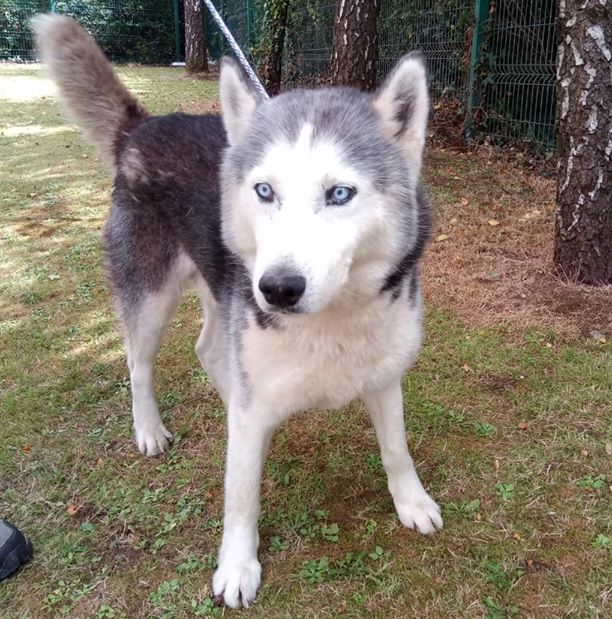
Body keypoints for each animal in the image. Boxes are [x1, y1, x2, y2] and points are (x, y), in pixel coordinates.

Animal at [34, 14, 440, 612]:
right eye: (265, 190)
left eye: (340, 194)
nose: (277, 289)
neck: (330, 320)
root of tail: (143, 126)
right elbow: (240, 496)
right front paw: (237, 565)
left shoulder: (384, 375)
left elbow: (396, 449)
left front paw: (411, 502)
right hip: (153, 295)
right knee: (139, 364)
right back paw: (149, 428)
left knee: (209, 350)